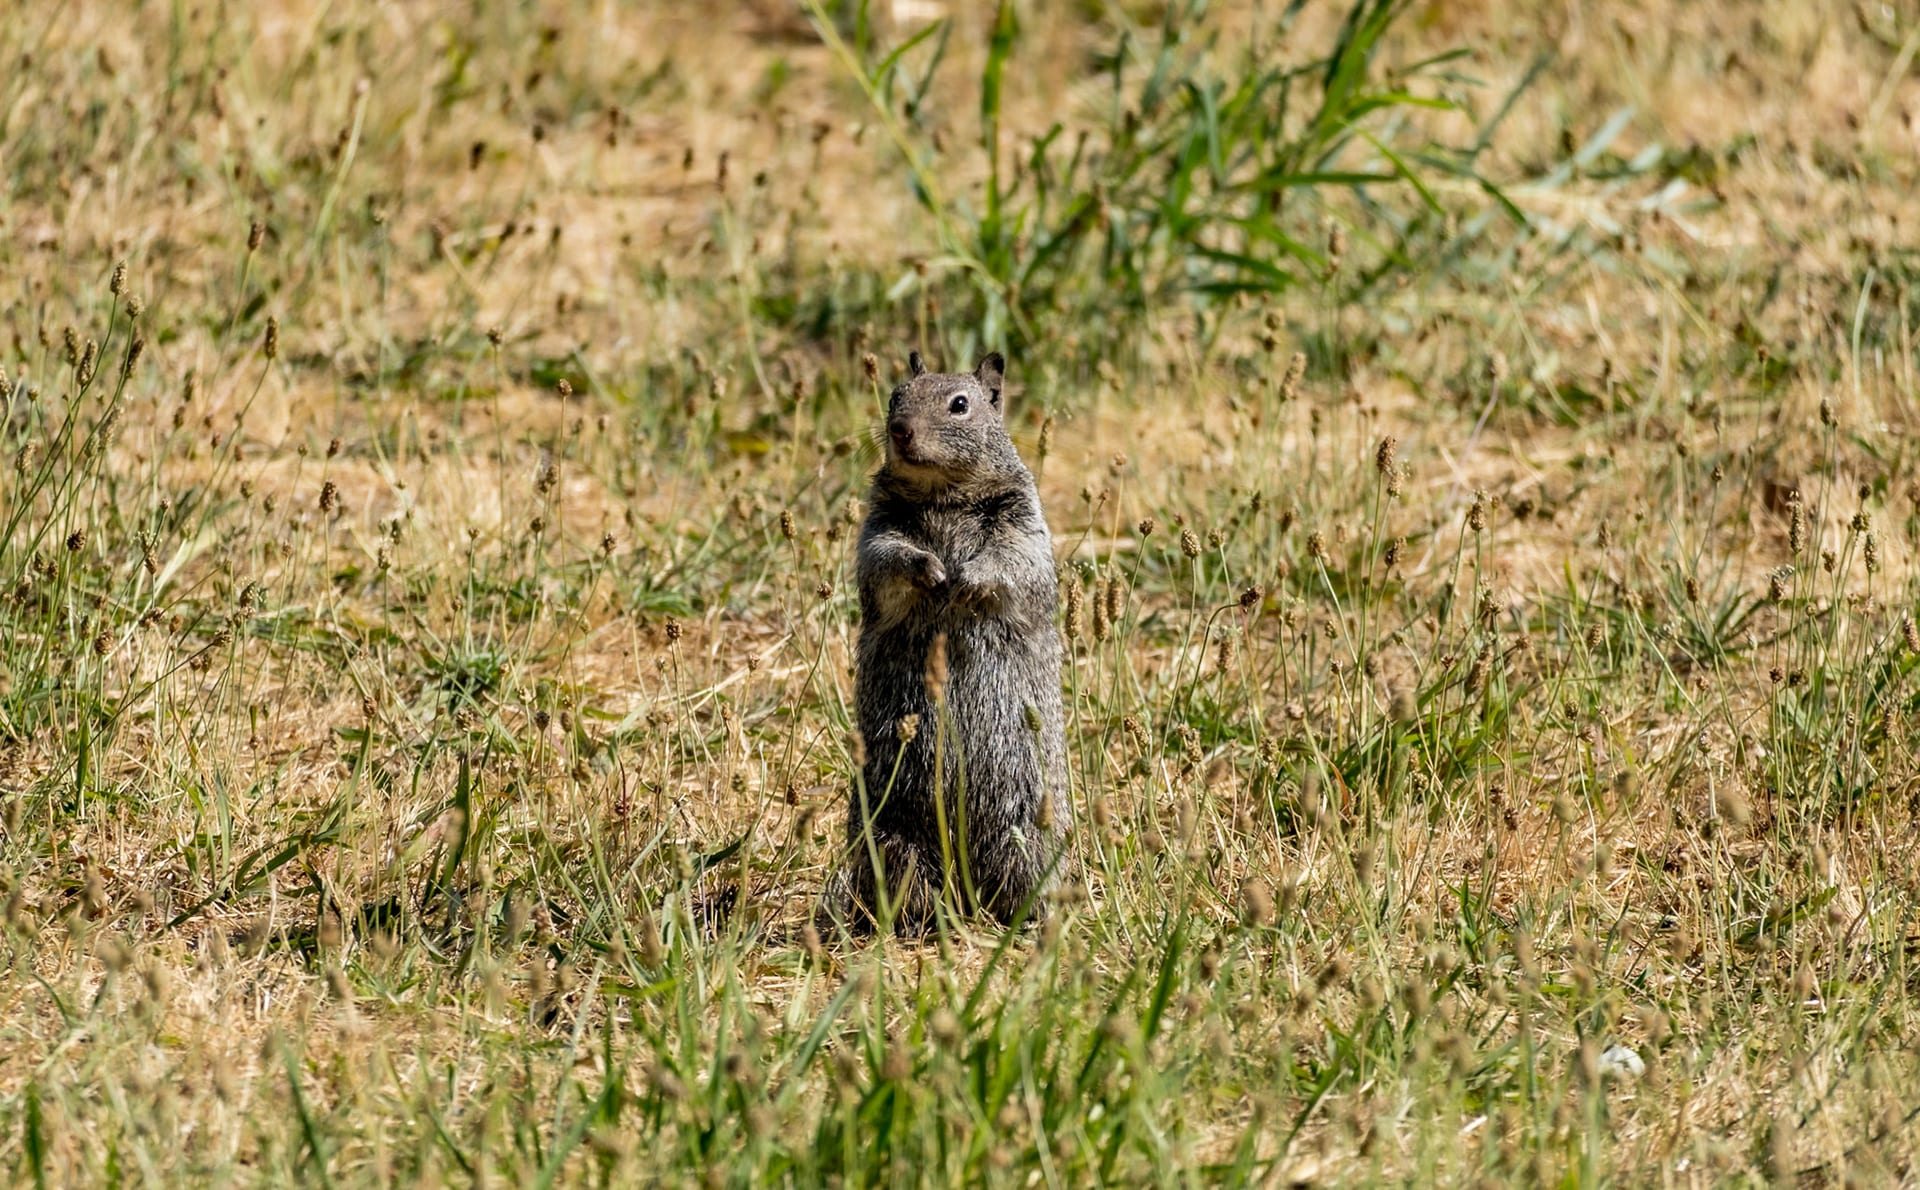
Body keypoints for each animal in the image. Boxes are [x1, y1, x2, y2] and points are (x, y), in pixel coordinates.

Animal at [838, 350, 1069, 933]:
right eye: (895, 396)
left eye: (959, 405)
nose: (900, 430)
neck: (944, 497)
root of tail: (966, 885)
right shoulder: (878, 528)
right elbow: (884, 558)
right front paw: (929, 568)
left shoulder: (1022, 526)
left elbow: (1011, 563)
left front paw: (966, 577)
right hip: (892, 839)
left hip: (1026, 831)